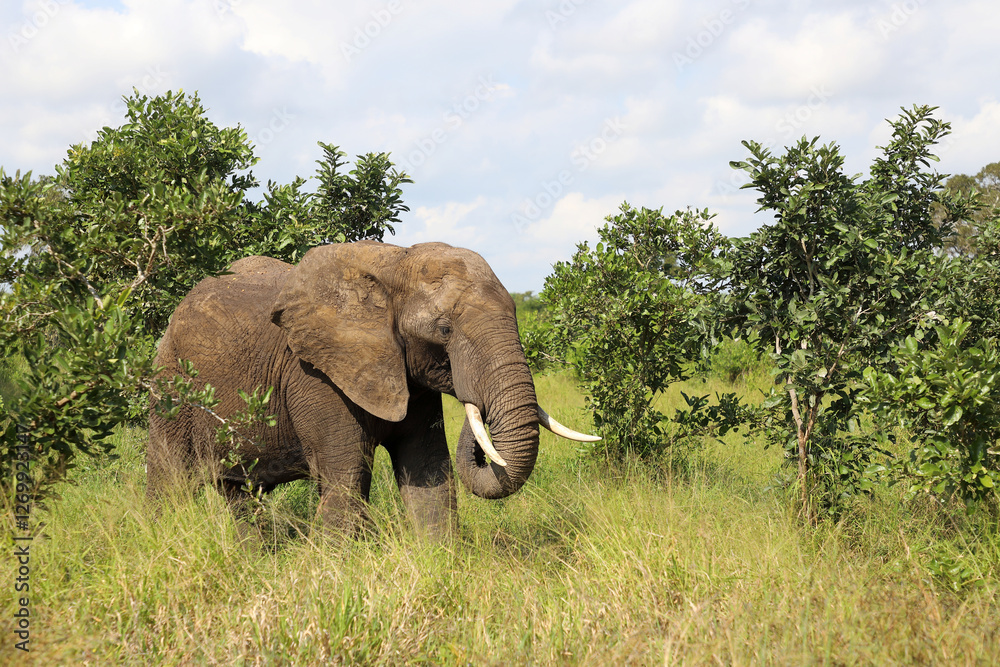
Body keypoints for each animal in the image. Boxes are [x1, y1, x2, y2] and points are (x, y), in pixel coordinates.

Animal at [147, 240, 597, 536]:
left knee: (238, 494)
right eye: (444, 330)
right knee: (169, 482)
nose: (478, 407)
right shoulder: (317, 374)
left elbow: (429, 473)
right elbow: (346, 478)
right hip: (169, 384)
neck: (395, 264)